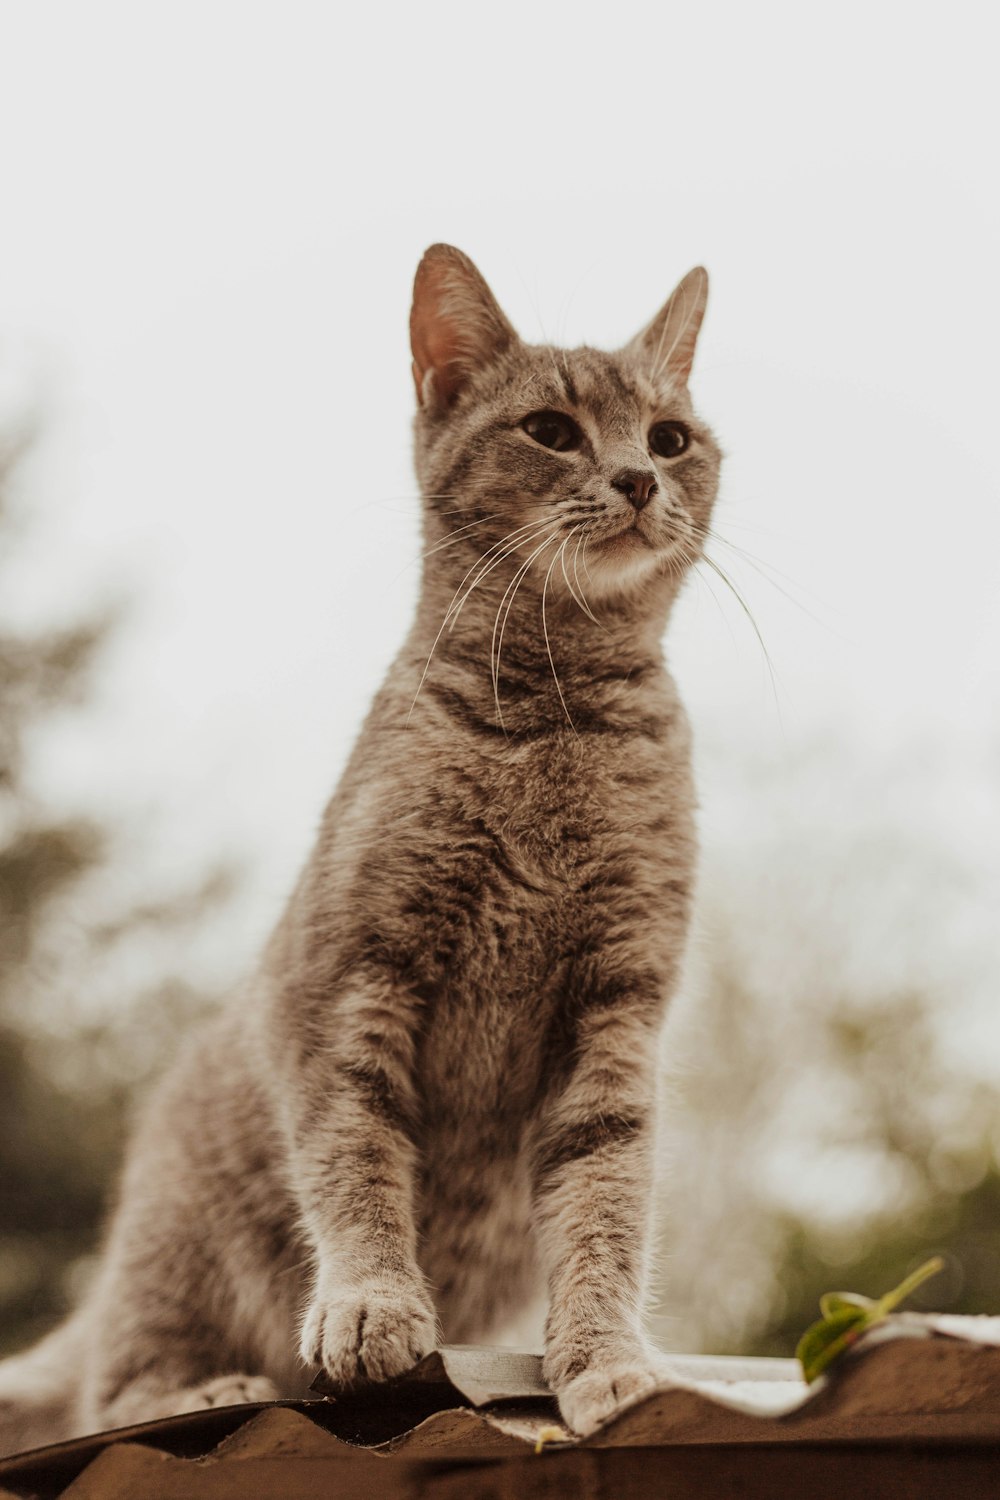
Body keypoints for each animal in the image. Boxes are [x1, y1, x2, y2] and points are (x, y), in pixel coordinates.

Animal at [0, 246, 719, 1452]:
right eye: (551, 430)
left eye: (669, 438)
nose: (636, 479)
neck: (556, 721)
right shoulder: (346, 988)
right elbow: (355, 1159)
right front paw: (372, 1301)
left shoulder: (615, 1018)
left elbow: (605, 1204)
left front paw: (606, 1359)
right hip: (174, 1253)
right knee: (111, 1388)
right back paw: (206, 1391)